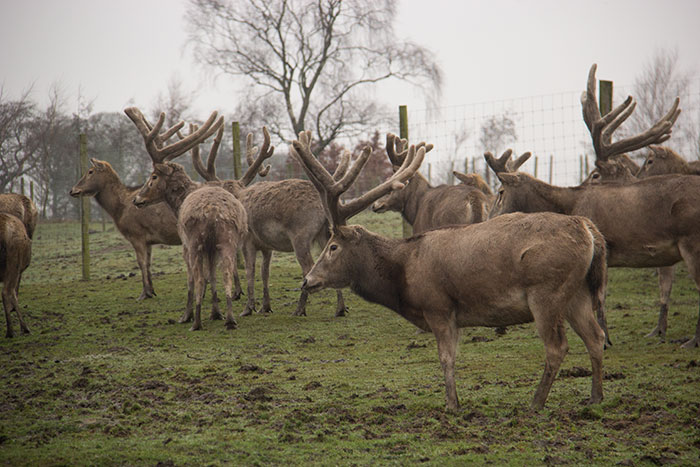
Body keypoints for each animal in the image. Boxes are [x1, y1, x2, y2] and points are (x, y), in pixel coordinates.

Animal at [127, 107, 247, 331]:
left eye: (154, 176)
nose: (137, 199)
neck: (179, 203)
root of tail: (213, 212)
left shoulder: (184, 244)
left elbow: (193, 279)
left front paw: (187, 315)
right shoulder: (212, 248)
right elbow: (213, 275)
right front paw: (216, 313)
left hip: (194, 240)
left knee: (197, 277)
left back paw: (196, 322)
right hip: (228, 239)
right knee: (226, 272)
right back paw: (230, 319)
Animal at [187, 125, 350, 318]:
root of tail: (323, 206)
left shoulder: (248, 240)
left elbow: (250, 270)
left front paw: (248, 308)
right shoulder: (267, 245)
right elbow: (265, 272)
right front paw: (265, 306)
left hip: (300, 235)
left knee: (308, 268)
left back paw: (299, 309)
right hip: (325, 233)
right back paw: (340, 308)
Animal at [291, 130, 607, 411]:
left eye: (333, 246)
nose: (307, 280)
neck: (404, 275)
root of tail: (589, 231)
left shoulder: (438, 306)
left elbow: (446, 357)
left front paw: (452, 404)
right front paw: (454, 401)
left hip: (547, 291)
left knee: (557, 347)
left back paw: (536, 402)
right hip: (577, 292)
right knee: (596, 337)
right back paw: (595, 398)